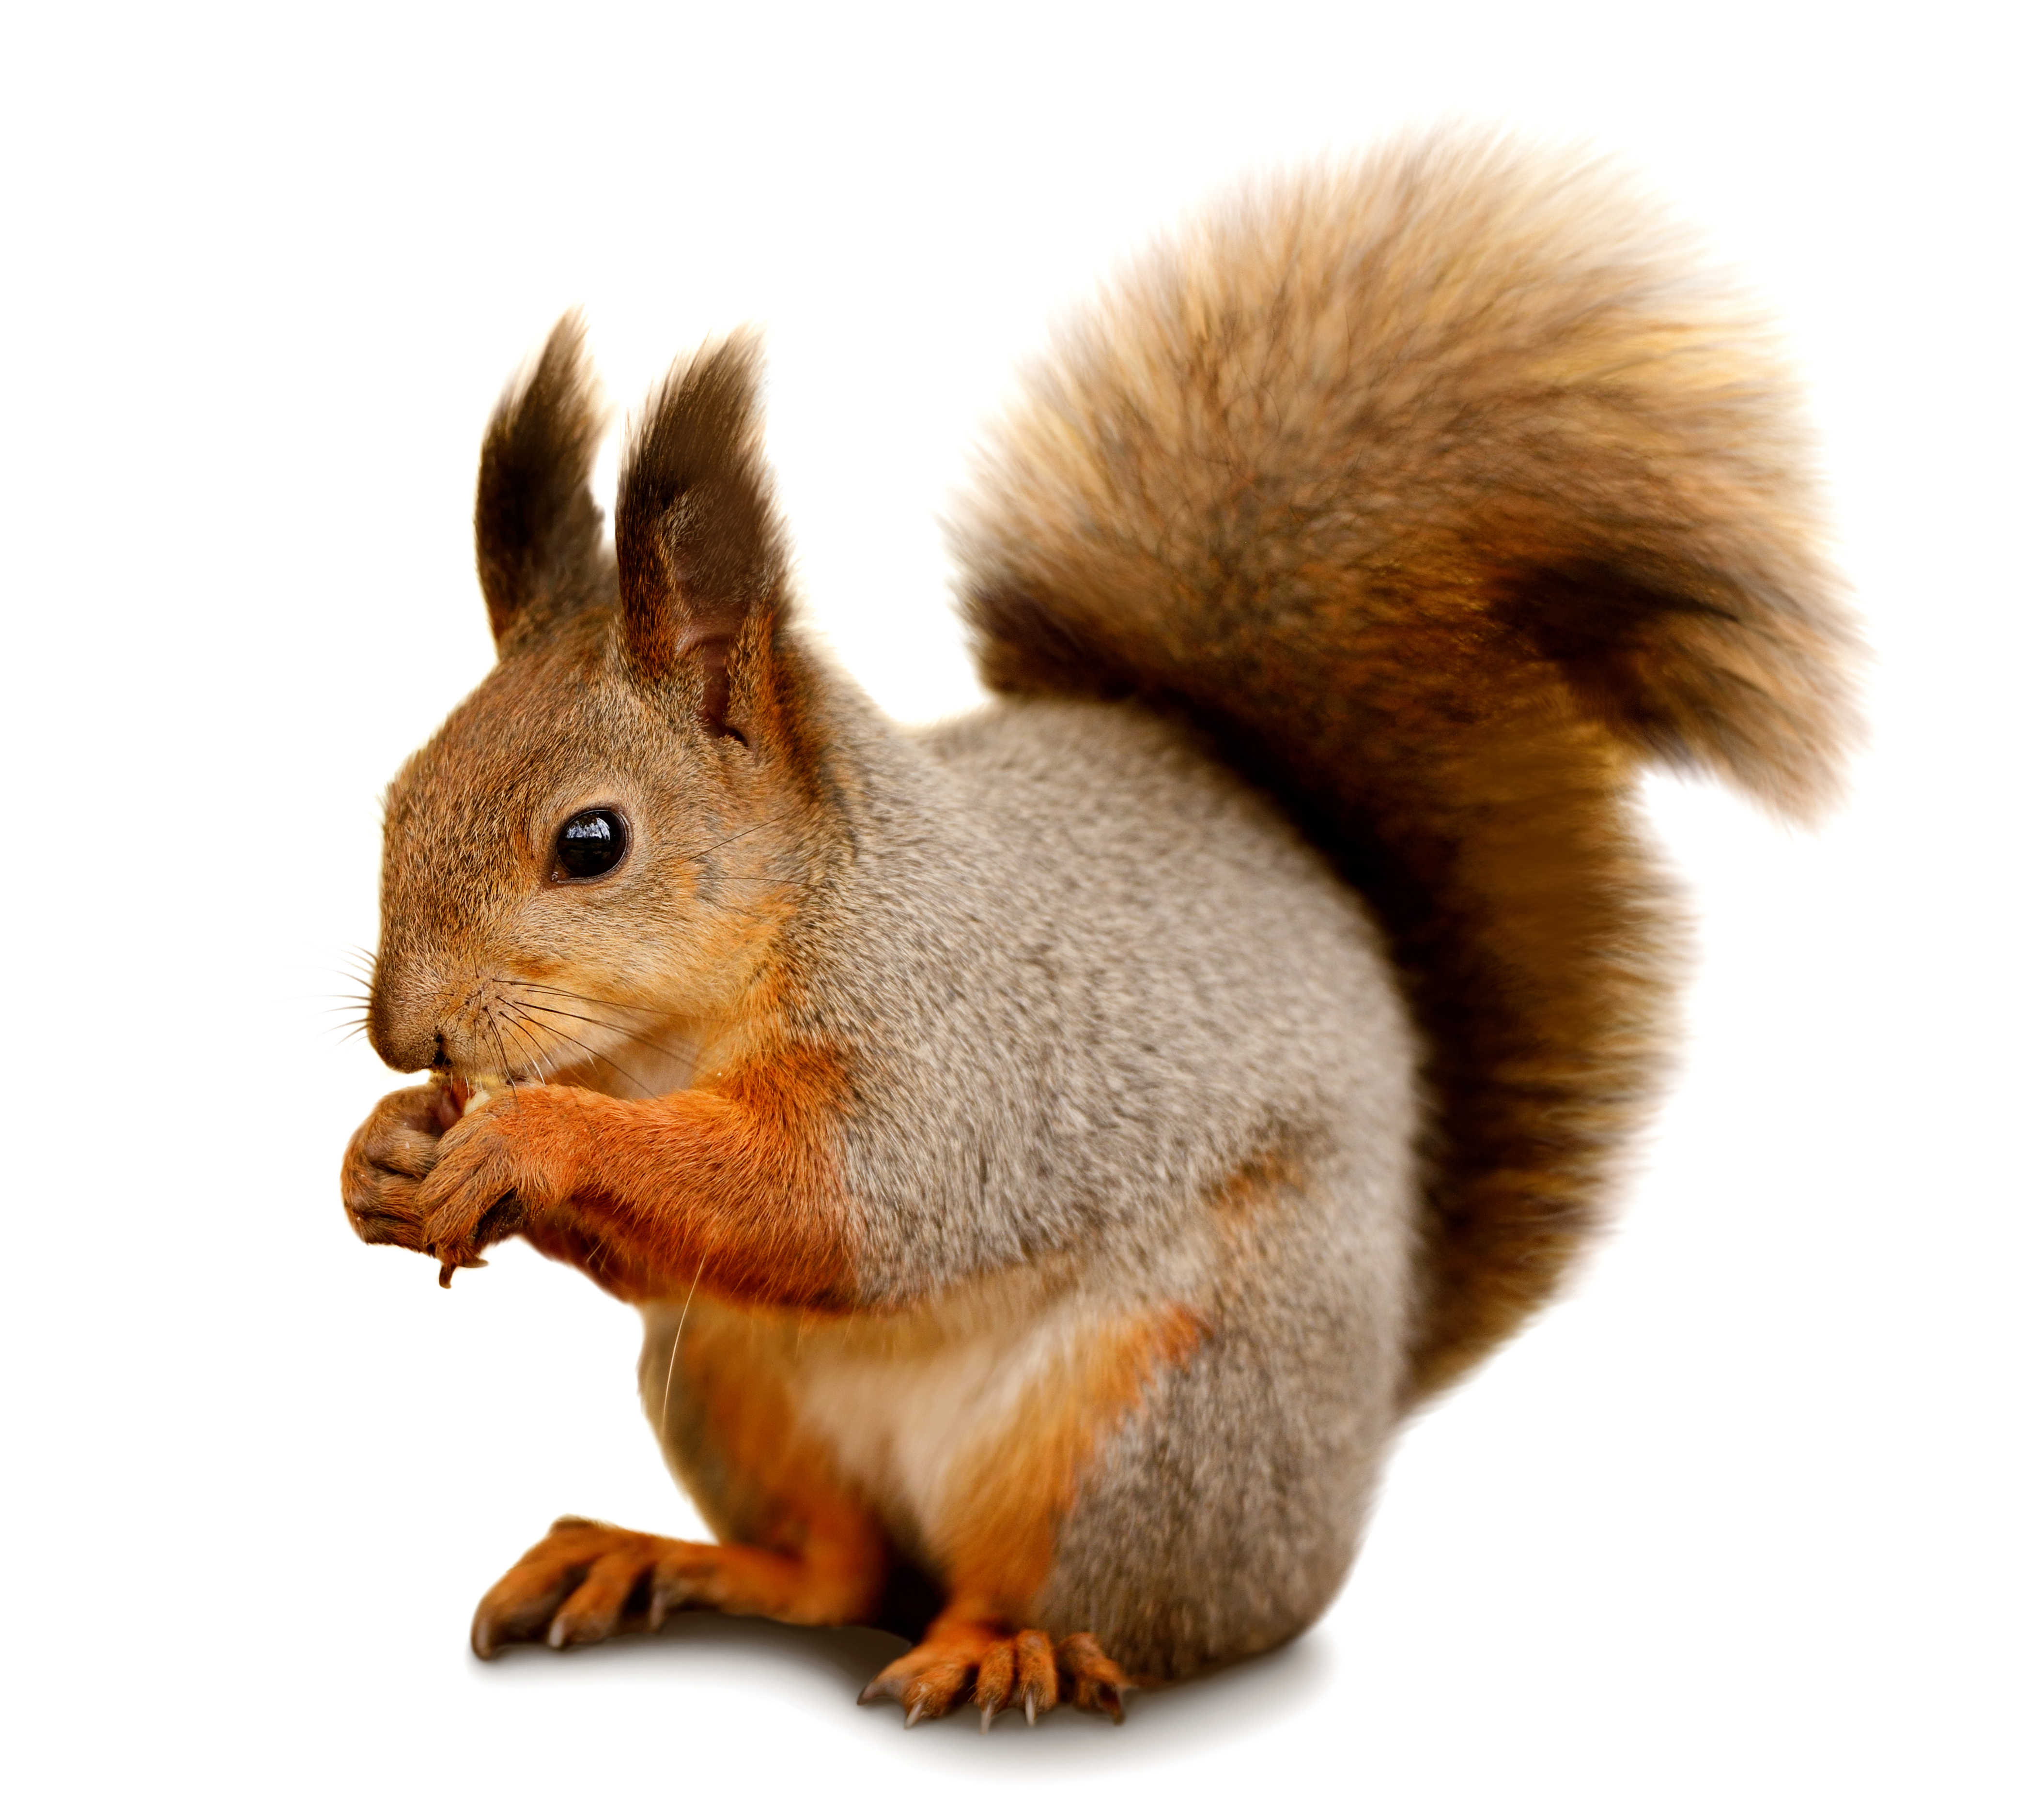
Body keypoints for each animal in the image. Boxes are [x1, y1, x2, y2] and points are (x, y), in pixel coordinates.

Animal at [340, 129, 1858, 1728]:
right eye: (397, 793)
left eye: (591, 842)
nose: (402, 1031)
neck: (673, 1025)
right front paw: (381, 1155)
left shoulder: (955, 1045)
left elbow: (829, 1198)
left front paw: (525, 1136)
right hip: (728, 1384)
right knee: (833, 1566)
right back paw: (660, 1557)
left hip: (1156, 1421)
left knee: (1090, 1603)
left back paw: (1009, 1651)